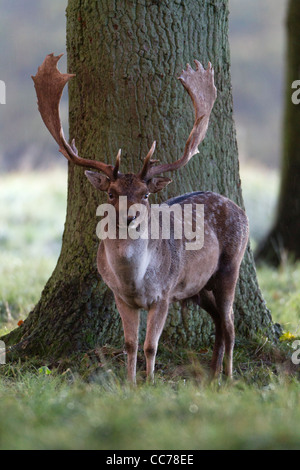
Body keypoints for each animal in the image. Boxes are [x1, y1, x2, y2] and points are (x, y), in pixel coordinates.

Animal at [32, 53, 248, 384]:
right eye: (111, 192)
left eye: (145, 195)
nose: (129, 216)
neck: (134, 281)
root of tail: (238, 208)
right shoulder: (120, 297)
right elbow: (130, 344)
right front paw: (131, 384)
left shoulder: (165, 293)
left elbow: (151, 345)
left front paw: (151, 383)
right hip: (199, 286)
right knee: (218, 323)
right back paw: (211, 377)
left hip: (230, 265)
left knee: (230, 323)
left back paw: (229, 378)